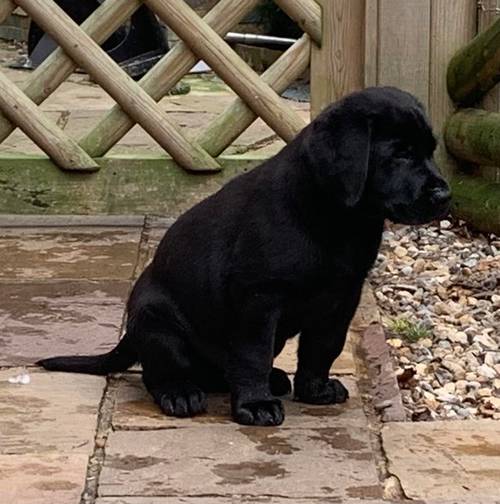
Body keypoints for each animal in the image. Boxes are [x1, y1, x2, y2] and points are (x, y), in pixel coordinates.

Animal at [39, 86, 452, 426]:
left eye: (429, 151)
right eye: (399, 154)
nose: (444, 194)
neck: (338, 219)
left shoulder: (343, 297)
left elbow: (323, 348)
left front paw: (315, 390)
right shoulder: (259, 298)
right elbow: (253, 354)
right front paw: (255, 405)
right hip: (156, 320)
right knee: (160, 372)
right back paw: (180, 393)